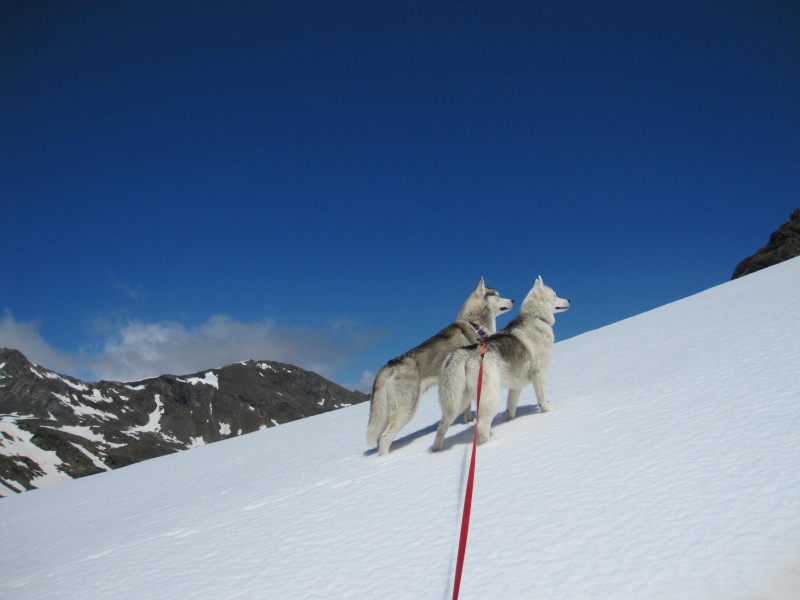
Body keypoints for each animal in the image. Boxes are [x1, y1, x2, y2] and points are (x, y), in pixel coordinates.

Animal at [368, 278, 516, 458]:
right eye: (498, 295)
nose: (513, 300)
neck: (475, 324)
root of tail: (389, 365)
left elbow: (466, 409)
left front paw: (467, 422)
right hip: (406, 409)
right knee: (385, 437)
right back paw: (386, 460)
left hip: (388, 411)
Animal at [432, 276, 568, 450]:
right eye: (555, 295)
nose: (569, 300)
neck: (536, 318)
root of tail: (464, 353)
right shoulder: (539, 374)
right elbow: (542, 398)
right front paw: (548, 410)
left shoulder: (516, 386)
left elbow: (511, 407)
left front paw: (509, 421)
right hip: (490, 397)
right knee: (481, 425)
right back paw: (492, 445)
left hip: (457, 401)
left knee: (442, 427)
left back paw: (437, 451)